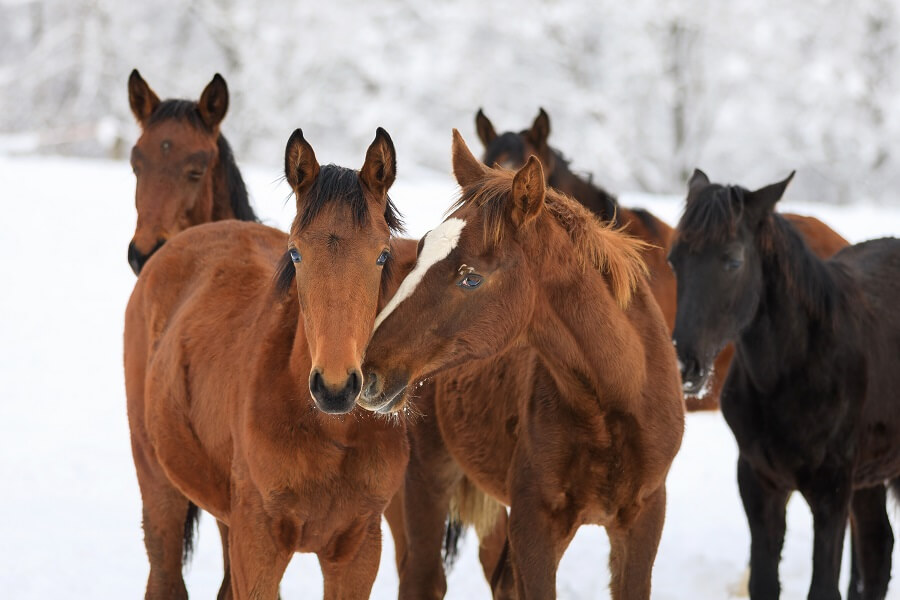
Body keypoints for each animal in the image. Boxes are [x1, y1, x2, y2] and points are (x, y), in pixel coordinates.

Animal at [358, 130, 684, 596]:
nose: (368, 372)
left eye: (471, 277)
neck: (616, 402)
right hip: (422, 485)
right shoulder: (535, 526)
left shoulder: (642, 520)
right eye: (421, 251)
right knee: (422, 577)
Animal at [668, 170, 900, 600]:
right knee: (877, 552)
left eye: (733, 260)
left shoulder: (831, 492)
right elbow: (763, 582)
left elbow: (822, 588)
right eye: (674, 260)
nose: (683, 365)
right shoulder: (759, 483)